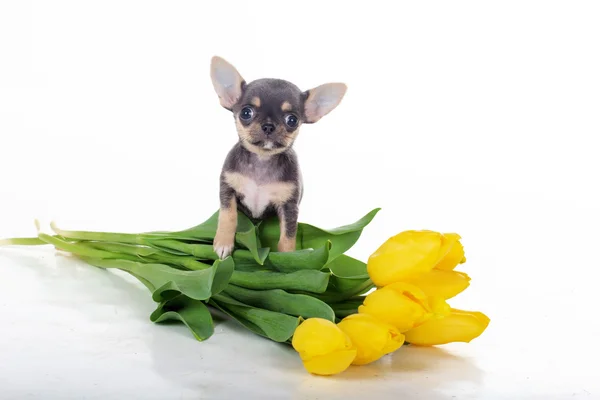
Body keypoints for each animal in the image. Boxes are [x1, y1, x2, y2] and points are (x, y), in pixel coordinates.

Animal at [210, 56, 346, 258]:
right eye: (246, 113)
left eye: (292, 120)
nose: (268, 125)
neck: (262, 161)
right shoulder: (228, 190)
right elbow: (228, 216)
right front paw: (223, 242)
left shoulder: (289, 207)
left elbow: (288, 236)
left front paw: (288, 258)